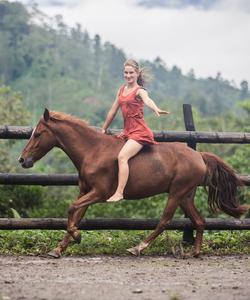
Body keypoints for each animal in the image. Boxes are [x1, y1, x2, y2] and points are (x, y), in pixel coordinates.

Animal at [19, 108, 248, 258]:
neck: (93, 151)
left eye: (38, 134)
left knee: (165, 220)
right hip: (186, 196)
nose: (22, 160)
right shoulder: (86, 192)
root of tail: (199, 155)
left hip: (176, 193)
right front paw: (59, 248)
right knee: (199, 221)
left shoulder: (99, 192)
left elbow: (71, 209)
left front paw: (76, 236)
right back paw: (195, 252)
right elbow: (76, 214)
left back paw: (138, 248)